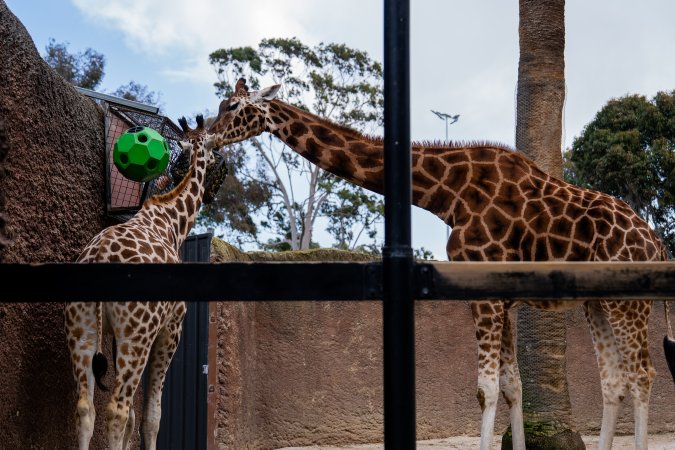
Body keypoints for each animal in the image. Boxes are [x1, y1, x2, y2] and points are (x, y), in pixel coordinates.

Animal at [64, 115, 216, 450]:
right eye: (214, 155)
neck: (173, 223)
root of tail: (99, 258)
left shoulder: (118, 336)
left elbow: (136, 415)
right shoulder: (171, 328)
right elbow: (151, 415)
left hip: (82, 328)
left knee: (85, 407)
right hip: (138, 334)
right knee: (117, 409)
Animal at [207, 78, 675, 450]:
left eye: (232, 107)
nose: (207, 137)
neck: (447, 194)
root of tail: (657, 244)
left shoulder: (485, 294)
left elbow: (486, 389)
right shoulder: (503, 297)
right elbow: (511, 386)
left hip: (629, 303)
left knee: (643, 374)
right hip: (599, 302)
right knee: (614, 380)